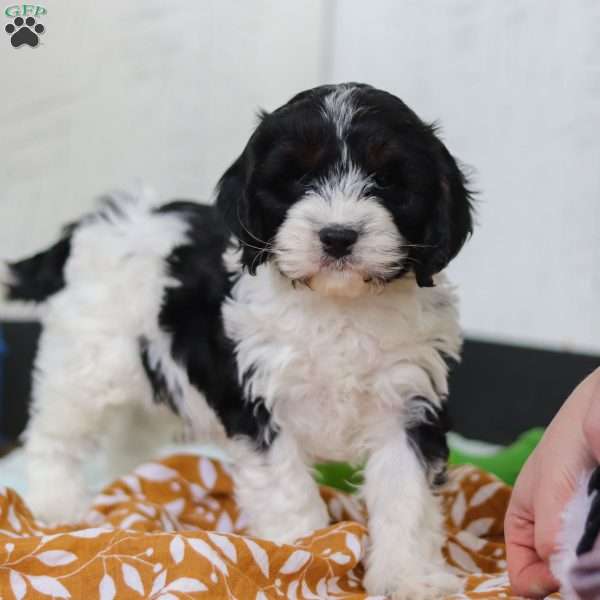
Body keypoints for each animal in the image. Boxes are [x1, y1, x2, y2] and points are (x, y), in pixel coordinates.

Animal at [2, 83, 476, 596]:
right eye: (297, 177)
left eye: (386, 179)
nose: (337, 236)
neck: (337, 304)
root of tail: (97, 223)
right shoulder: (260, 400)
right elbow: (290, 491)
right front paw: (308, 556)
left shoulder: (408, 399)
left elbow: (405, 496)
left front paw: (409, 577)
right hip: (88, 359)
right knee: (56, 436)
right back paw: (57, 505)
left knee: (130, 435)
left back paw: (129, 483)